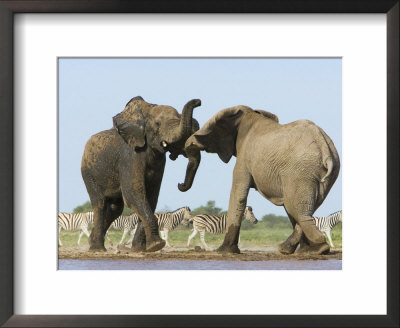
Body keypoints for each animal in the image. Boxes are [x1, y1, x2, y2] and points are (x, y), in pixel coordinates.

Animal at [81, 96, 202, 252]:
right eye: (157, 124)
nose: (180, 184)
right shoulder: (129, 156)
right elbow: (134, 193)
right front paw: (157, 245)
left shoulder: (159, 161)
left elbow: (151, 196)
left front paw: (141, 249)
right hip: (88, 172)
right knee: (100, 203)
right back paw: (97, 249)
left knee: (115, 209)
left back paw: (92, 242)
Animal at [180, 106, 340, 255]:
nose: (180, 185)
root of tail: (322, 142)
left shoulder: (244, 157)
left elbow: (238, 194)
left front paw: (224, 251)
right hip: (323, 173)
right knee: (300, 207)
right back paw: (304, 250)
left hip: (300, 170)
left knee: (295, 207)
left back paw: (311, 249)